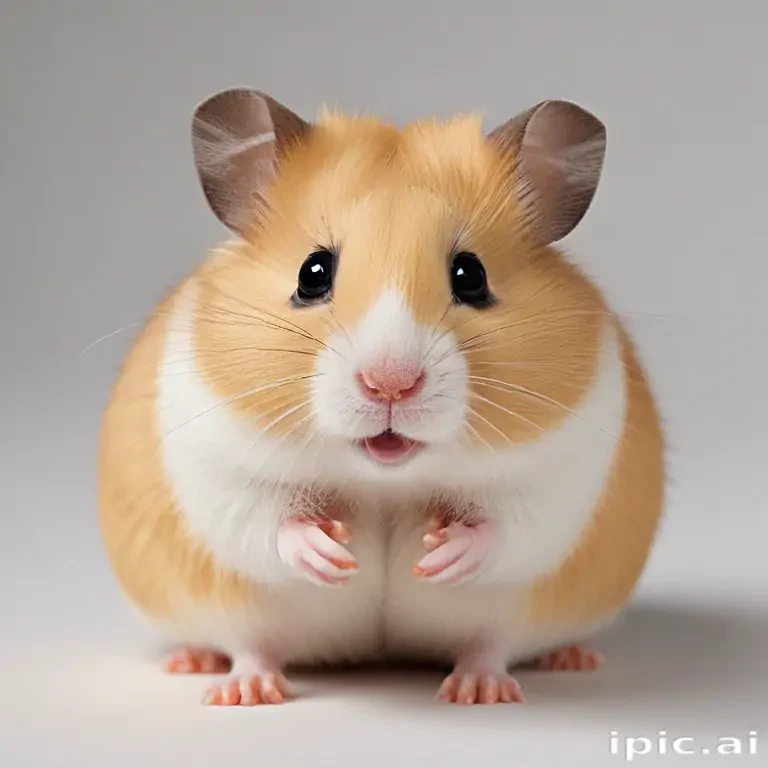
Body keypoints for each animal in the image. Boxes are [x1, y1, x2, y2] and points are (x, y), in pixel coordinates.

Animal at [97, 87, 665, 706]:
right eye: (312, 272)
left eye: (471, 275)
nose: (390, 383)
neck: (385, 479)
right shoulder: (213, 457)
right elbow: (263, 520)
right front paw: (333, 552)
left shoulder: (565, 467)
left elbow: (509, 525)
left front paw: (439, 553)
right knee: (249, 644)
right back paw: (229, 683)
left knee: (492, 645)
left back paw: (501, 683)